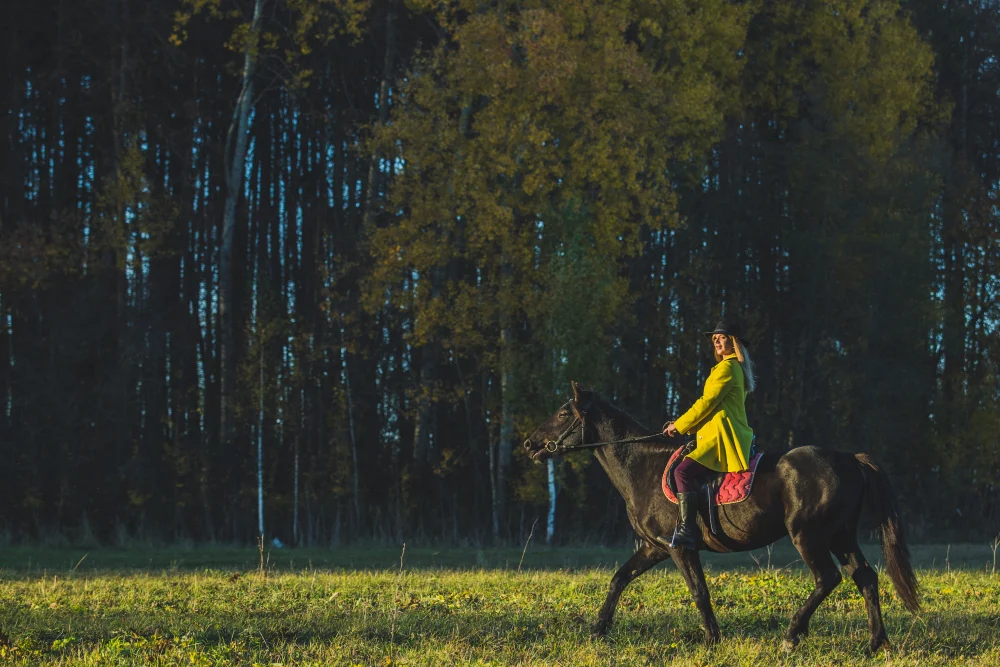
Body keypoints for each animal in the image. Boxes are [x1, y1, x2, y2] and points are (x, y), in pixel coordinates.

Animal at [522, 382, 920, 654]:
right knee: (865, 578)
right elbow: (619, 579)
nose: (529, 445)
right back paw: (876, 643)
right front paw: (598, 629)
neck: (642, 467)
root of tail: (848, 458)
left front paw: (712, 639)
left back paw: (792, 636)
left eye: (563, 414)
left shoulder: (679, 548)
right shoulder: (654, 548)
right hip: (841, 535)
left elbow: (699, 591)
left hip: (809, 536)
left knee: (828, 578)